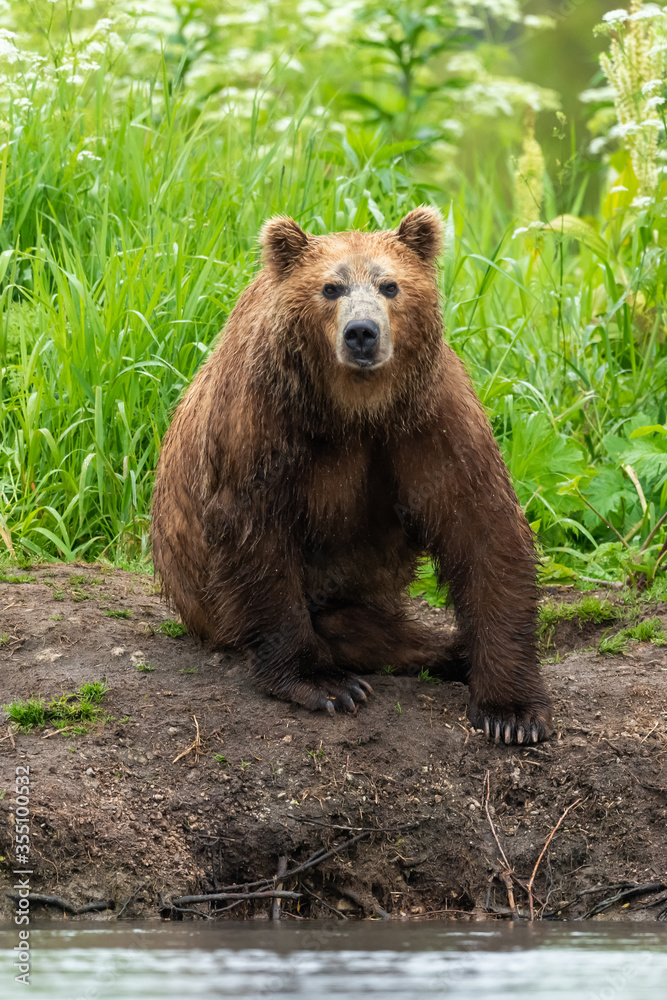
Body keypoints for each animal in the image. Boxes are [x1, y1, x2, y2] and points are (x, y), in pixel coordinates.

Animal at [151, 207, 553, 744]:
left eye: (390, 285)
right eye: (330, 288)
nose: (362, 332)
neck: (351, 409)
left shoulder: (428, 416)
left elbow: (482, 527)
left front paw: (512, 711)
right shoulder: (259, 419)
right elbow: (255, 537)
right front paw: (326, 684)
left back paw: (451, 652)